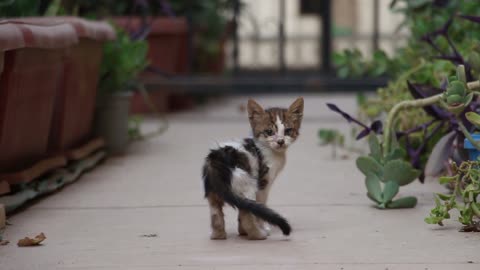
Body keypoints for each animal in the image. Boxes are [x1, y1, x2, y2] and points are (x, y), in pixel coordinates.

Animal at [202, 97, 304, 240]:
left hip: (213, 193)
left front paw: (242, 232)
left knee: (216, 213)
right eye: (269, 132)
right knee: (246, 213)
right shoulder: (263, 183)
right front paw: (263, 227)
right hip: (247, 184)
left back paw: (218, 235)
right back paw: (258, 234)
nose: (280, 141)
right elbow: (260, 206)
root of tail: (216, 161)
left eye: (288, 131)